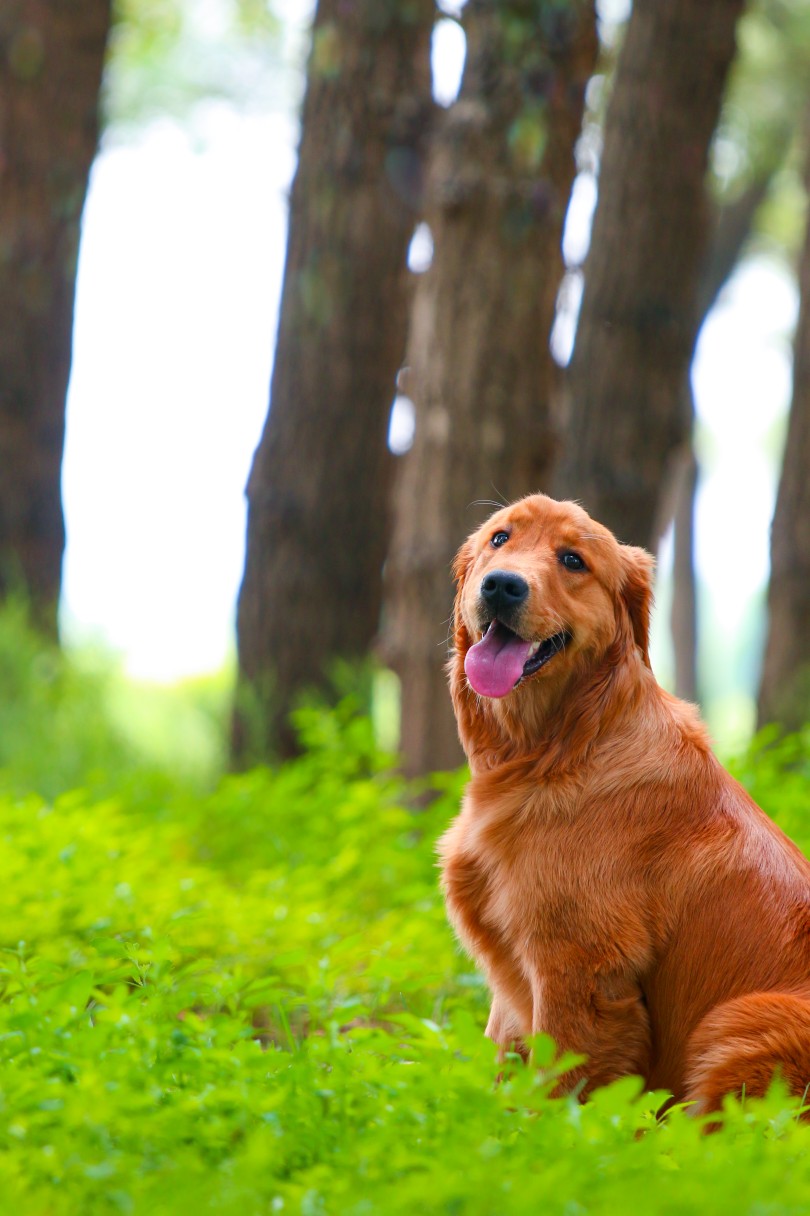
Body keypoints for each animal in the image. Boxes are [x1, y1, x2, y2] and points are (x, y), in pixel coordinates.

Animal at [437, 491, 807, 1113]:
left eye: (572, 560)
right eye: (499, 538)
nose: (502, 585)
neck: (563, 748)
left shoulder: (577, 971)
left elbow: (557, 1093)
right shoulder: (514, 984)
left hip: (742, 1021)